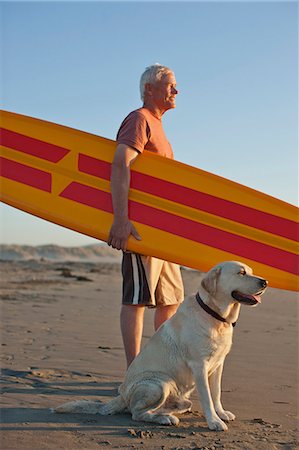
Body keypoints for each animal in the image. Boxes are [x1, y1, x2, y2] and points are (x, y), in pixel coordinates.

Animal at [52, 262, 268, 430]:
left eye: (250, 270)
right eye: (241, 273)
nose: (265, 282)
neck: (214, 315)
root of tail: (121, 396)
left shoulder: (218, 365)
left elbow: (216, 393)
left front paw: (221, 413)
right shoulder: (199, 365)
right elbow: (207, 396)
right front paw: (214, 422)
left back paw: (170, 412)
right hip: (158, 384)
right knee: (137, 413)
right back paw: (165, 419)